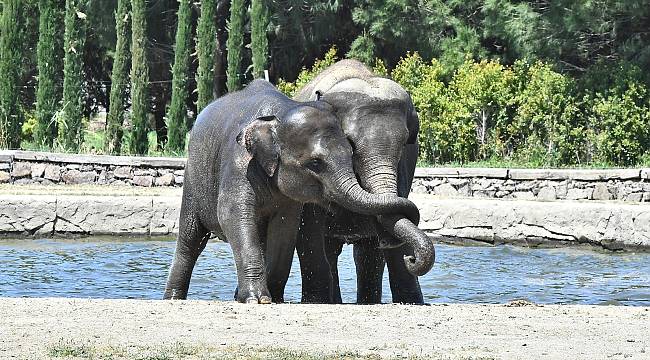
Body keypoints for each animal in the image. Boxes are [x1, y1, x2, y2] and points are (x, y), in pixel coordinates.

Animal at [162, 79, 422, 304]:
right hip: (192, 177)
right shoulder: (238, 163)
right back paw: (174, 297)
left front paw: (272, 297)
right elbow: (233, 215)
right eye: (315, 163)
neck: (281, 113)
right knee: (191, 239)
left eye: (351, 153)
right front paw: (257, 299)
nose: (411, 257)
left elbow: (285, 226)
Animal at [292, 59, 432, 304]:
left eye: (406, 142)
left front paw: (412, 301)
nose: (412, 259)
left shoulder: (404, 169)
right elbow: (308, 230)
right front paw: (314, 301)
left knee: (366, 254)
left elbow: (392, 223)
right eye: (349, 141)